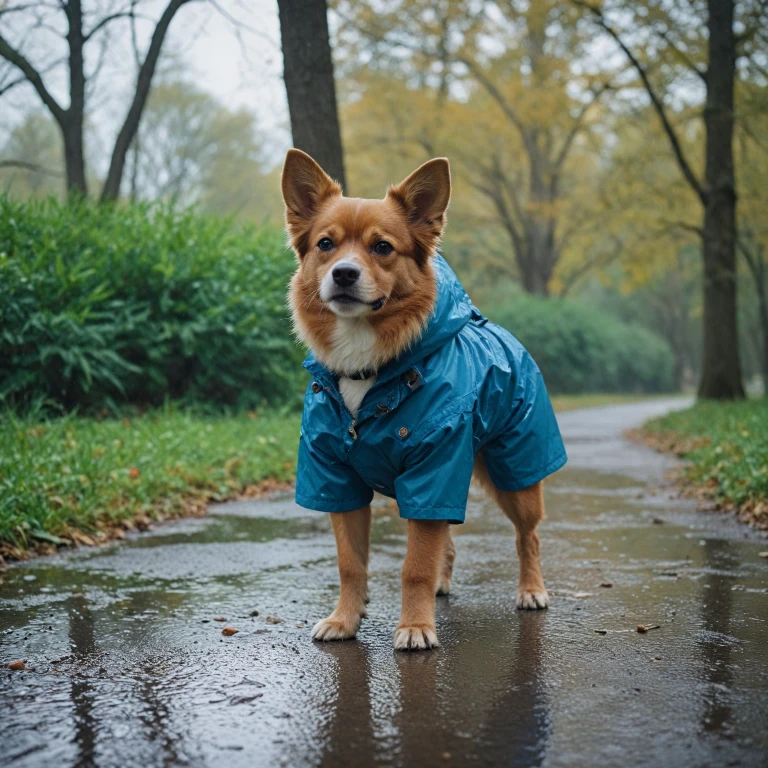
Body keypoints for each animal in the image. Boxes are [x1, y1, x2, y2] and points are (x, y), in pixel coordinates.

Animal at [282, 148, 564, 648]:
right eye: (325, 244)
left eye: (382, 248)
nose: (343, 273)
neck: (373, 369)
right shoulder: (339, 481)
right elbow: (351, 563)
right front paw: (345, 619)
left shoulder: (434, 471)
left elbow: (414, 565)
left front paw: (414, 626)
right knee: (444, 540)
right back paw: (440, 585)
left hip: (517, 474)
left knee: (527, 536)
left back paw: (531, 589)